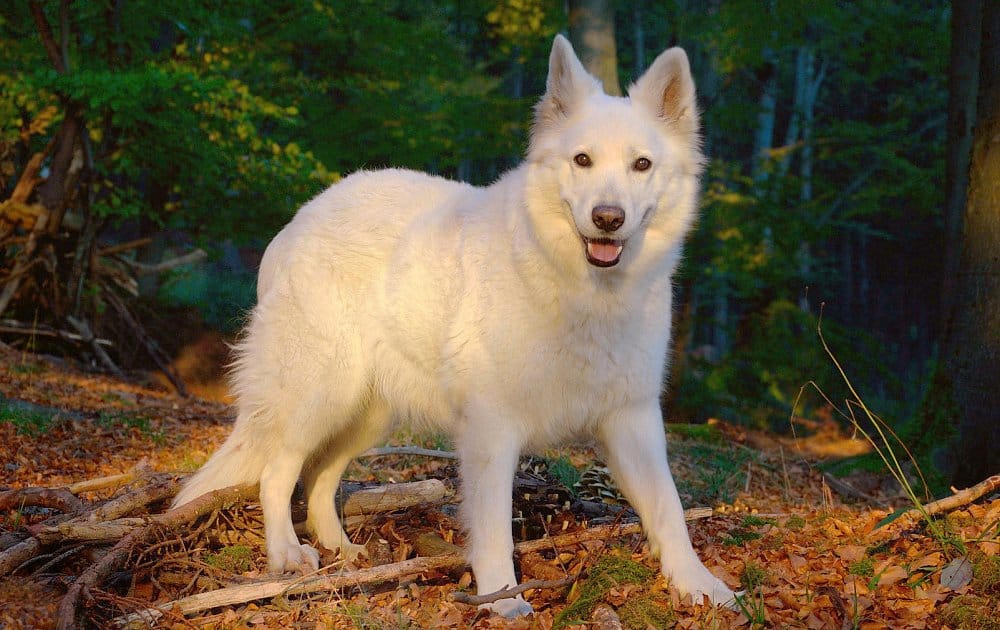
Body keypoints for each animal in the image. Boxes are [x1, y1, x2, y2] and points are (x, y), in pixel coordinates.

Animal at [172, 33, 736, 616]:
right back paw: (286, 555)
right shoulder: (492, 428)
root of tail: (299, 219)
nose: (608, 218)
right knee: (277, 472)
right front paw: (503, 599)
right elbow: (492, 527)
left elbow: (669, 507)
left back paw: (342, 553)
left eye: (641, 165)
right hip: (320, 394)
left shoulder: (633, 418)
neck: (581, 289)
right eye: (582, 160)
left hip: (367, 413)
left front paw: (700, 585)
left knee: (320, 479)